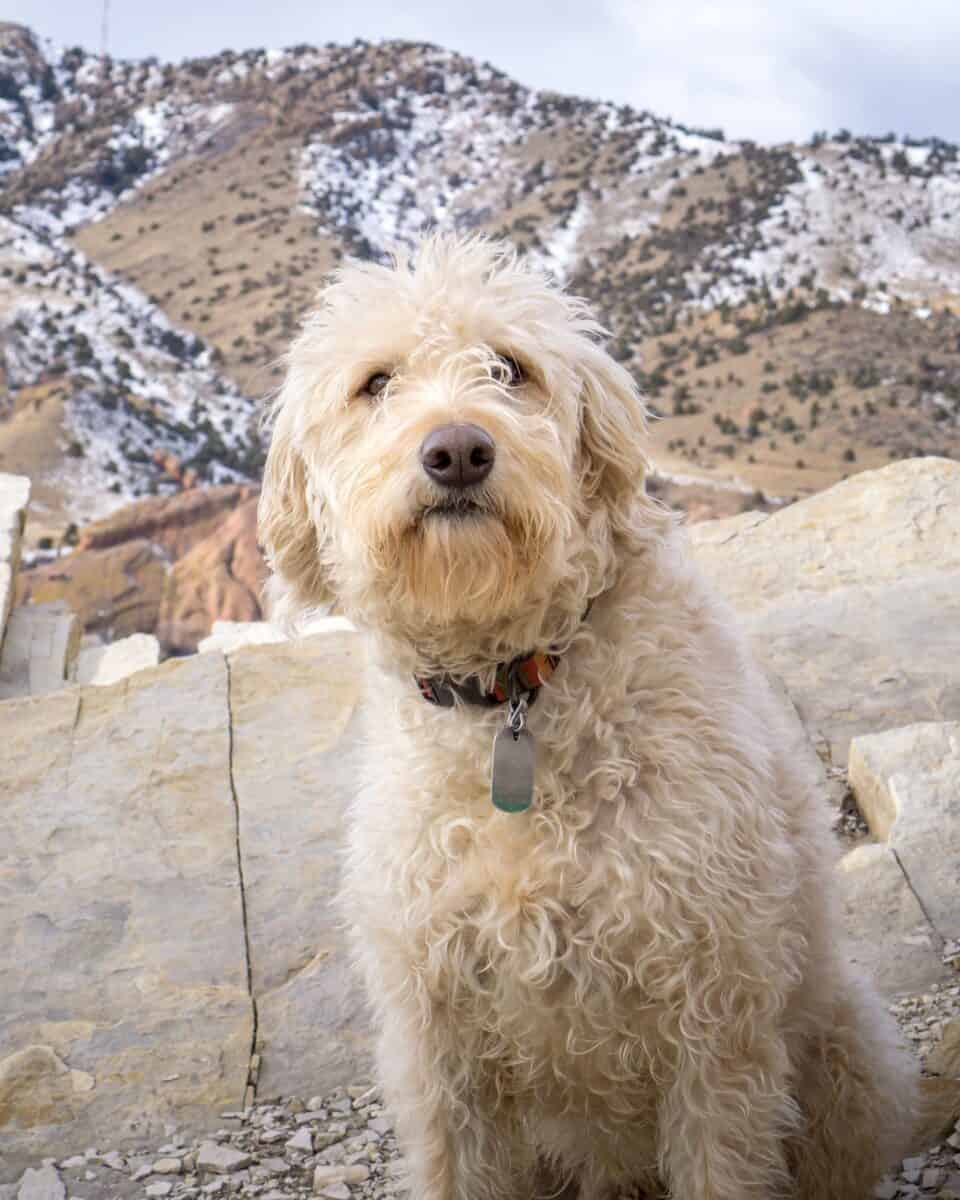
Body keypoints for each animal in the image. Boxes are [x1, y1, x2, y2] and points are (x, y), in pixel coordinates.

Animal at [259, 234, 916, 1200]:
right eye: (375, 383)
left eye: (510, 368)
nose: (458, 450)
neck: (515, 693)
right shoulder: (438, 1039)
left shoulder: (716, 1021)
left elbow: (721, 1159)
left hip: (845, 1058)